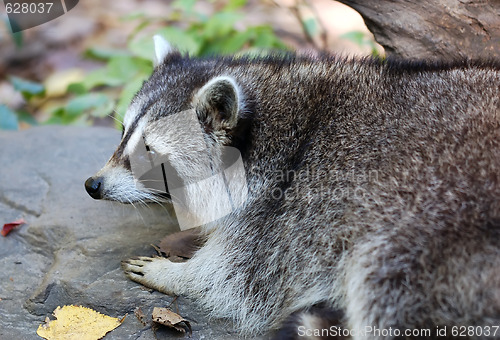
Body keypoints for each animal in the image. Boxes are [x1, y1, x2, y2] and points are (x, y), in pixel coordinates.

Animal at [85, 35, 500, 338]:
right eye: (124, 135)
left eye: (150, 152)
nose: (93, 184)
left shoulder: (293, 212)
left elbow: (238, 279)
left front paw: (176, 275)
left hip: (436, 224)